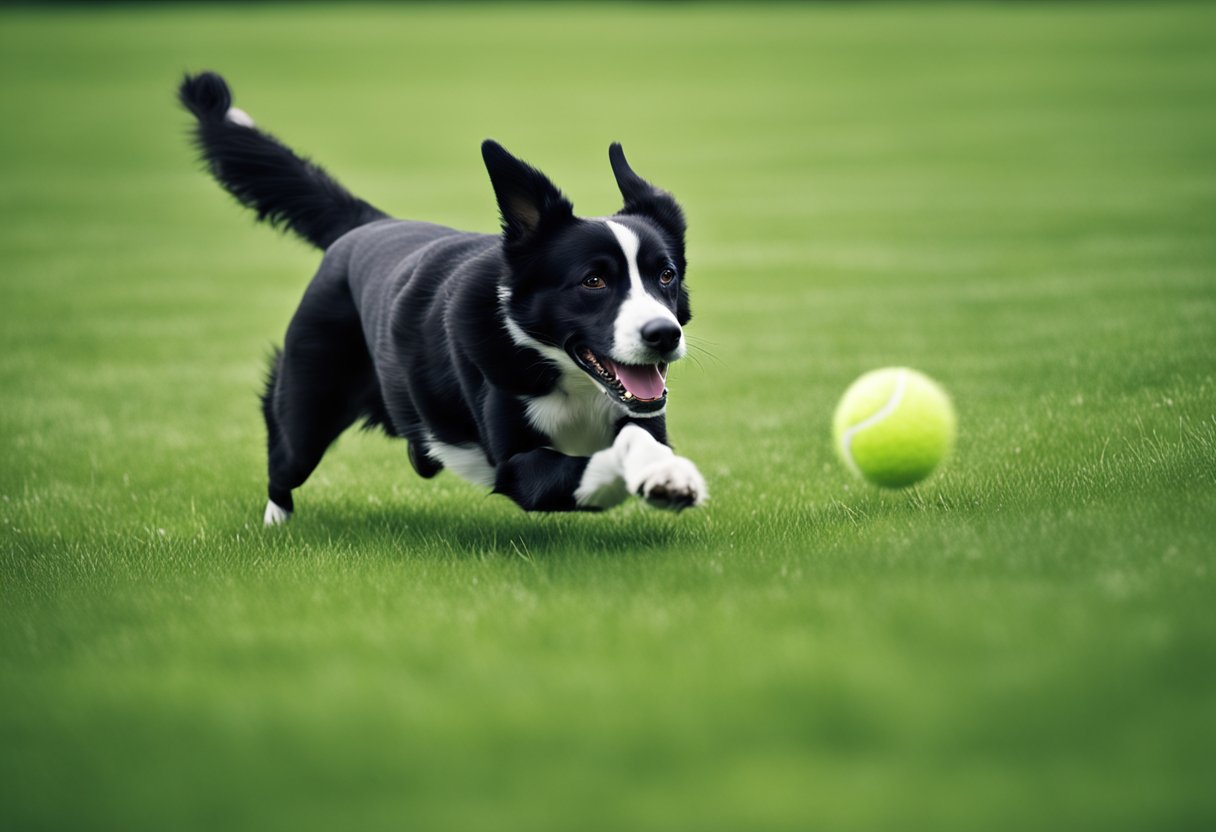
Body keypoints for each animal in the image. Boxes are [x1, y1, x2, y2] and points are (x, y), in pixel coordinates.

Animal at [181, 72, 710, 525]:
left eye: (665, 275)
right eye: (593, 281)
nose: (664, 335)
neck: (566, 379)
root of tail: (366, 224)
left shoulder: (641, 416)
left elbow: (638, 438)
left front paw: (667, 474)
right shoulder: (519, 468)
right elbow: (586, 464)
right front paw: (654, 478)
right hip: (309, 404)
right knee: (285, 456)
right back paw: (277, 521)